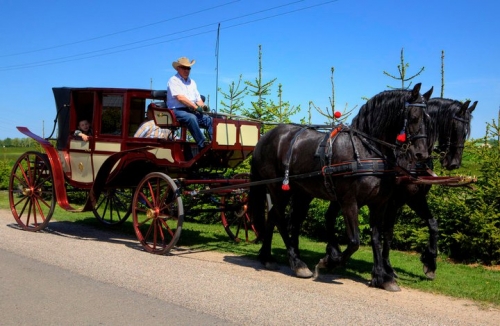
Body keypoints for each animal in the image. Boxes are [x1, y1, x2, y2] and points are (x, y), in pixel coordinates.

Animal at [250, 83, 434, 290]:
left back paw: (271, 257)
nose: (421, 154)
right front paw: (330, 261)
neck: (365, 151)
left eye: (429, 120)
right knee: (280, 219)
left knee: (285, 219)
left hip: (301, 193)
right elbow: (354, 241)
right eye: (414, 117)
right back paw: (296, 263)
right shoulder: (349, 202)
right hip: (277, 189)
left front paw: (382, 277)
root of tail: (265, 138)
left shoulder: (379, 204)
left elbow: (376, 238)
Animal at [316, 98, 476, 284]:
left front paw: (429, 263)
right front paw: (387, 269)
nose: (454, 163)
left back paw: (332, 252)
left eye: (467, 131)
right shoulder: (394, 202)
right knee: (331, 217)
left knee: (329, 217)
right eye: (455, 127)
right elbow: (388, 233)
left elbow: (433, 224)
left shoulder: (414, 199)